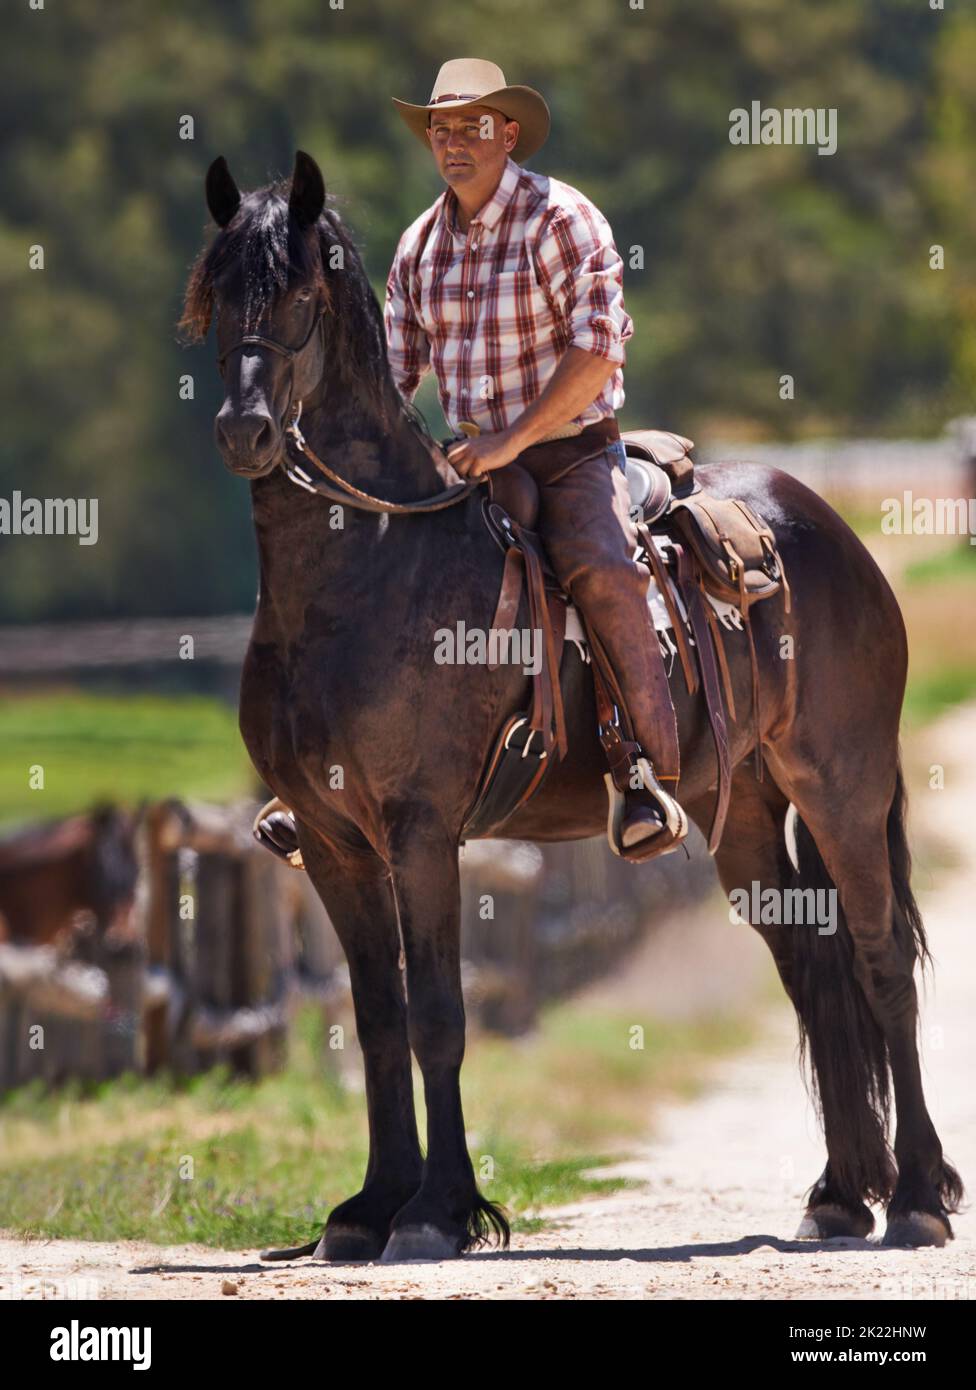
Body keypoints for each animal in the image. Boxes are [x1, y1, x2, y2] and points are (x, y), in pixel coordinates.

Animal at [180, 150, 963, 1261]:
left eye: (297, 294)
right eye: (214, 295)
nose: (244, 431)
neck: (369, 567)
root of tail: (828, 529)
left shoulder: (422, 832)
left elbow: (438, 1015)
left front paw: (436, 1212)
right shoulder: (334, 844)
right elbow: (375, 1020)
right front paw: (365, 1209)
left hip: (842, 785)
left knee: (880, 954)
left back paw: (918, 1198)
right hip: (744, 812)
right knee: (810, 965)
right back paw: (840, 1195)